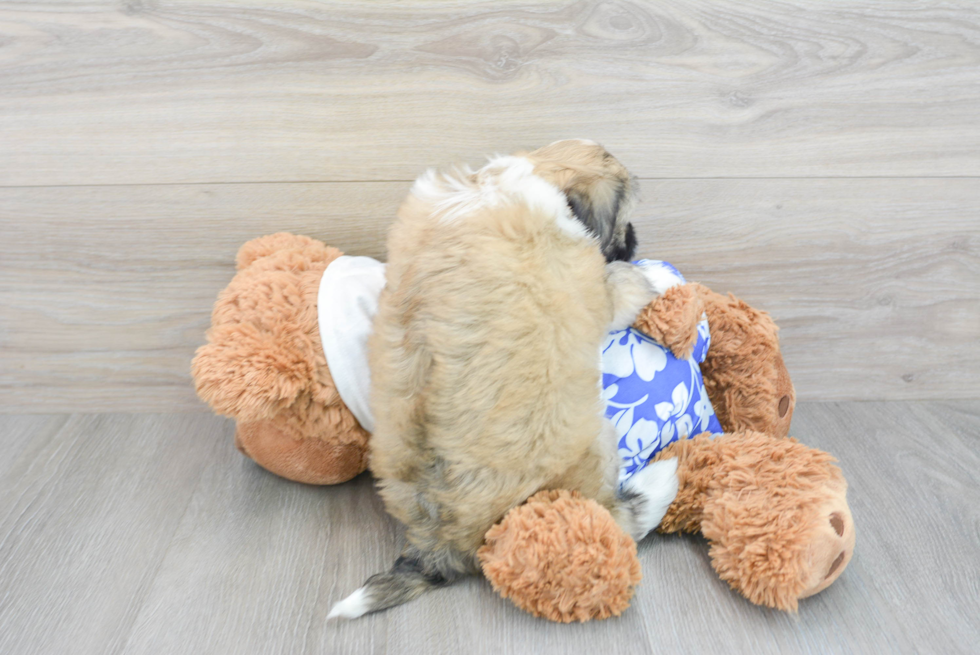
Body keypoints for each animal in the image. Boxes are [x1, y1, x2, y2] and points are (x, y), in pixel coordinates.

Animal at [334, 140, 676, 620]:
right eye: (626, 219)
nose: (634, 243)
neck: (510, 180)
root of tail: (438, 541)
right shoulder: (590, 288)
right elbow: (618, 288)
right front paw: (652, 276)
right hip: (597, 442)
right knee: (616, 514)